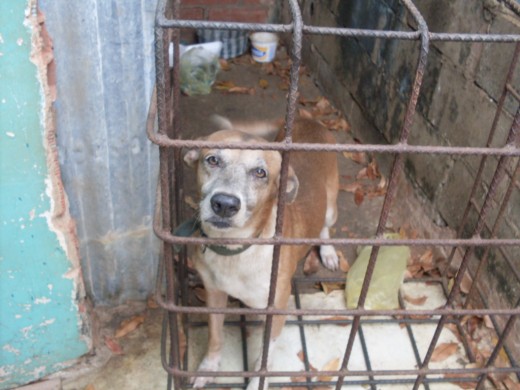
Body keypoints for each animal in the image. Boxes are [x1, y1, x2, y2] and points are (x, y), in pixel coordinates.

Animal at [184, 117, 342, 388]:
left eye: (260, 173)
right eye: (212, 160)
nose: (224, 204)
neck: (236, 251)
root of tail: (309, 118)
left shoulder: (276, 308)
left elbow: (265, 354)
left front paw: (257, 381)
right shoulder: (214, 294)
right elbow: (215, 337)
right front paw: (208, 368)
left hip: (331, 207)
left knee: (324, 226)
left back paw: (328, 251)